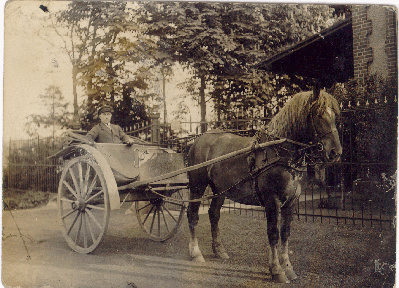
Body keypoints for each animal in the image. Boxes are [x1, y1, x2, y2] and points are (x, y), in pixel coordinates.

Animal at [186, 86, 342, 284]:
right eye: (318, 114)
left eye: (334, 115)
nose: (336, 152)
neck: (279, 153)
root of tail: (199, 139)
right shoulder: (272, 201)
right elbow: (273, 233)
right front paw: (277, 270)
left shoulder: (291, 202)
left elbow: (285, 233)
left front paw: (288, 268)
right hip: (197, 187)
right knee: (192, 216)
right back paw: (196, 253)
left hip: (219, 190)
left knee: (214, 215)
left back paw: (220, 251)